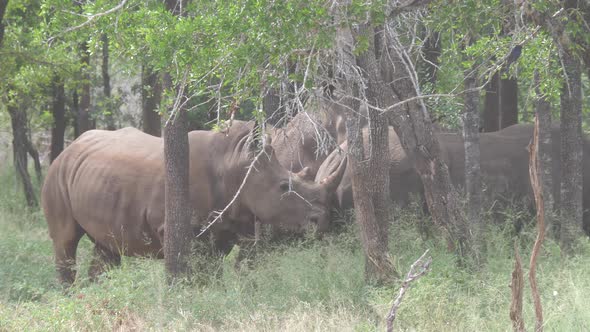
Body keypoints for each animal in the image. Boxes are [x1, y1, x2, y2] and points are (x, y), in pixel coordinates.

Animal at [42, 120, 346, 284]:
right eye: (285, 187)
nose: (322, 221)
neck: (235, 168)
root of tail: (69, 147)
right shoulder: (175, 228)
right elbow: (190, 272)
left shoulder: (223, 229)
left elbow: (212, 275)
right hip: (57, 174)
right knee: (66, 241)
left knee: (106, 248)